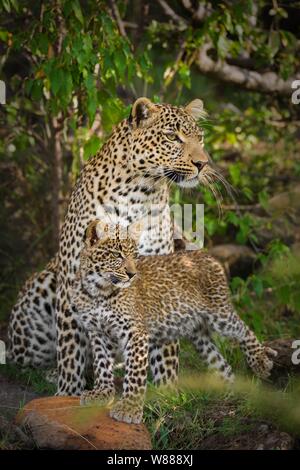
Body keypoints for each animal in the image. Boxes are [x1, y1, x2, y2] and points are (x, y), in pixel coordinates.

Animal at [8, 97, 212, 394]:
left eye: (200, 137)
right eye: (173, 137)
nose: (202, 163)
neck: (142, 192)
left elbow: (166, 349)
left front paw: (167, 389)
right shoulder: (73, 275)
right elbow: (71, 346)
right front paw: (68, 391)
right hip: (42, 288)